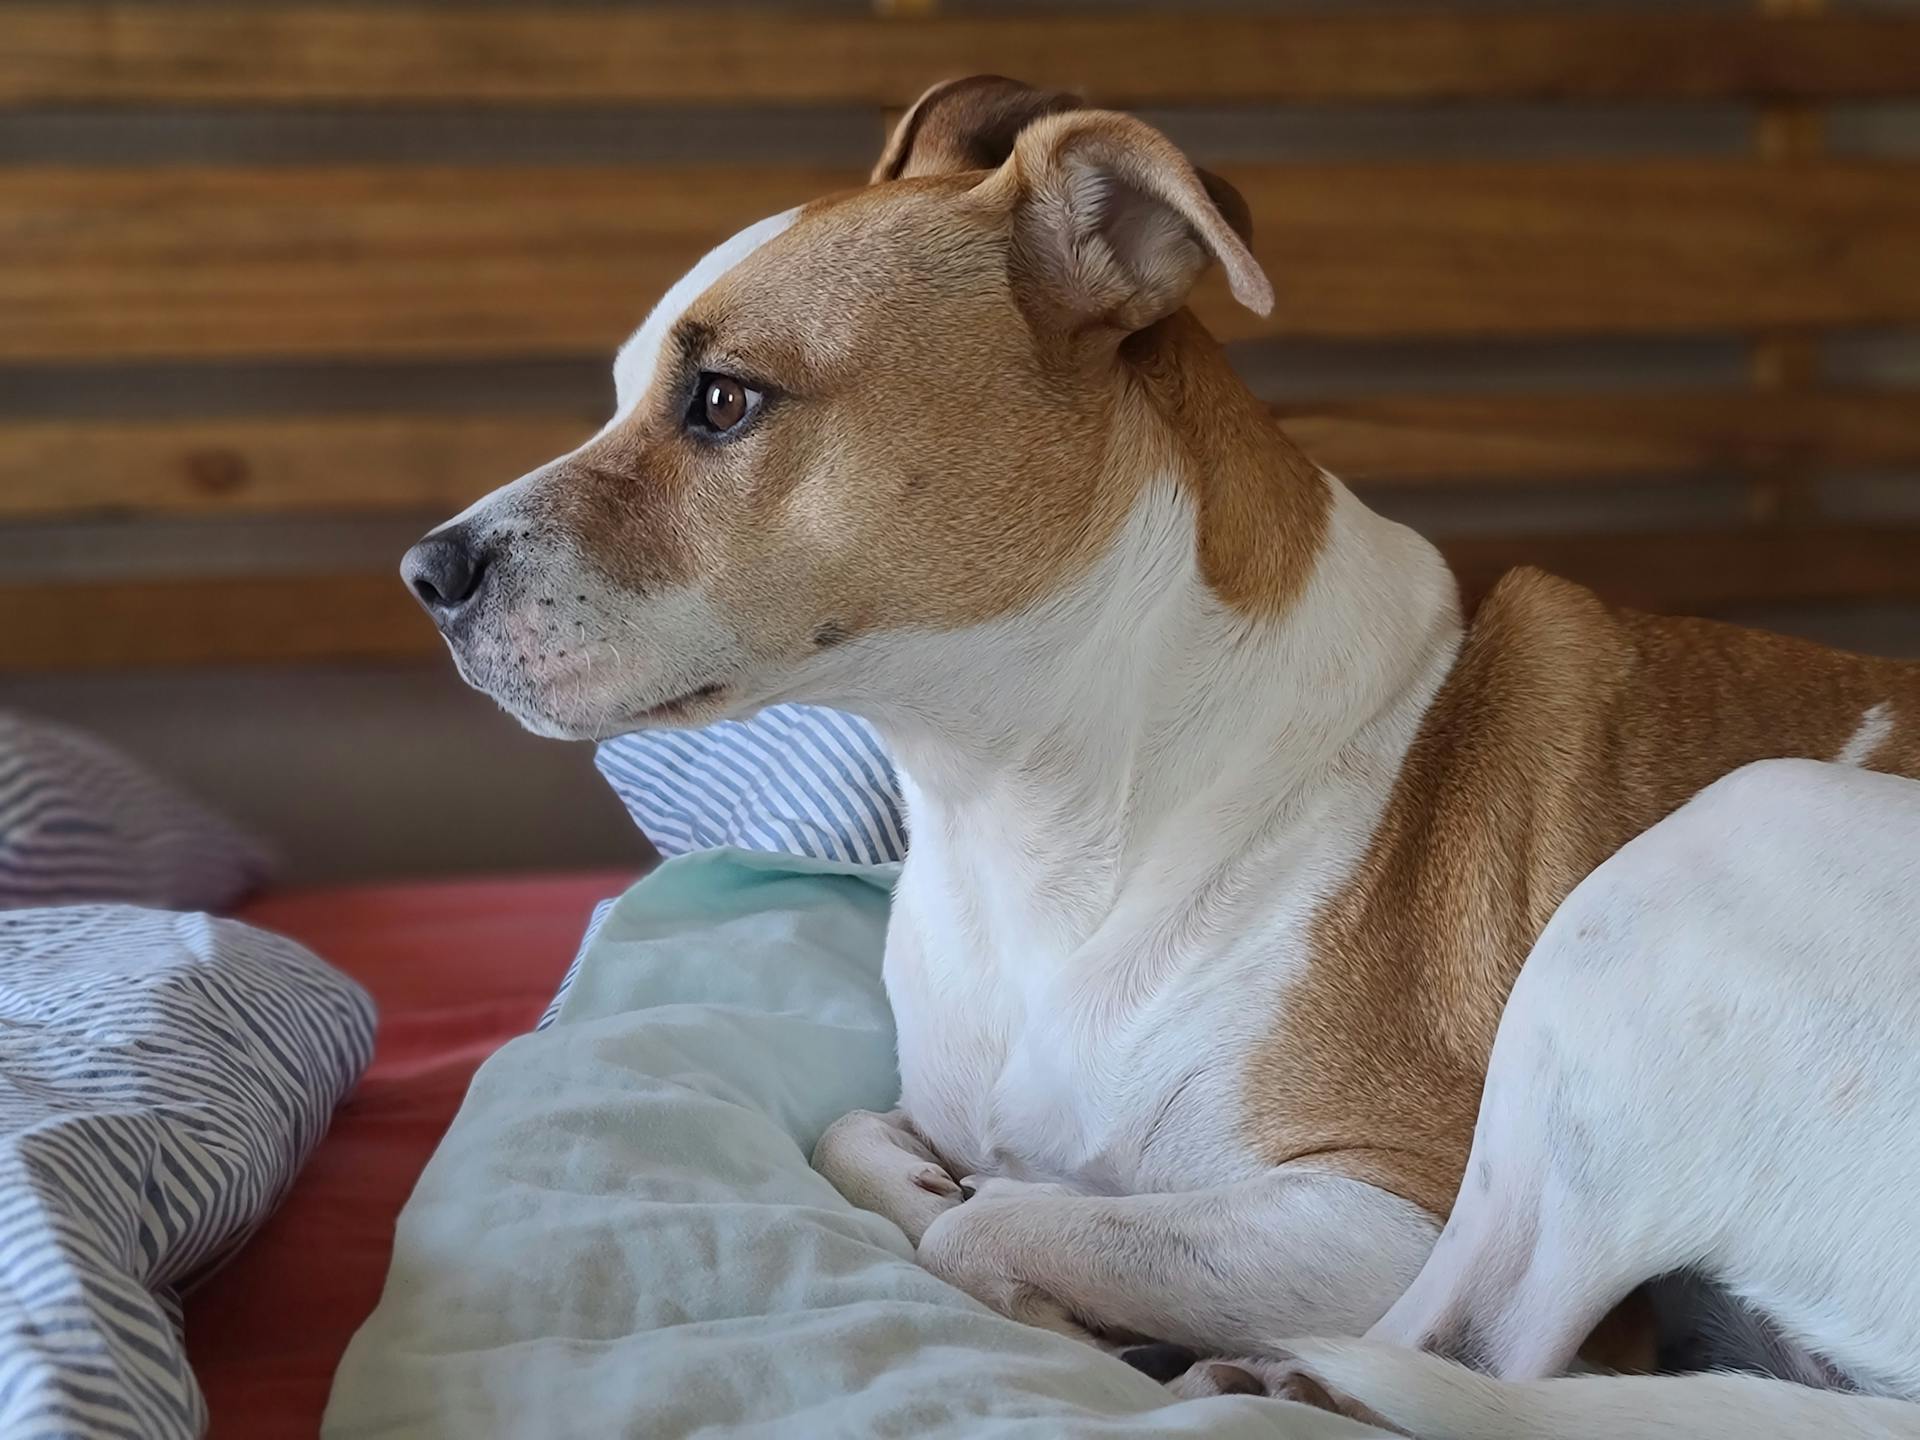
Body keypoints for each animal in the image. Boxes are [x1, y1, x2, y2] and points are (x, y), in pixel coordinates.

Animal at [405, 76, 1920, 1436]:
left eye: (722, 401)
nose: (426, 572)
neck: (1029, 806)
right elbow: (867, 1143)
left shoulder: (1383, 1208)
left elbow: (991, 1229)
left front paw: (1066, 1297)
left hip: (1719, 856)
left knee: (1469, 1360)